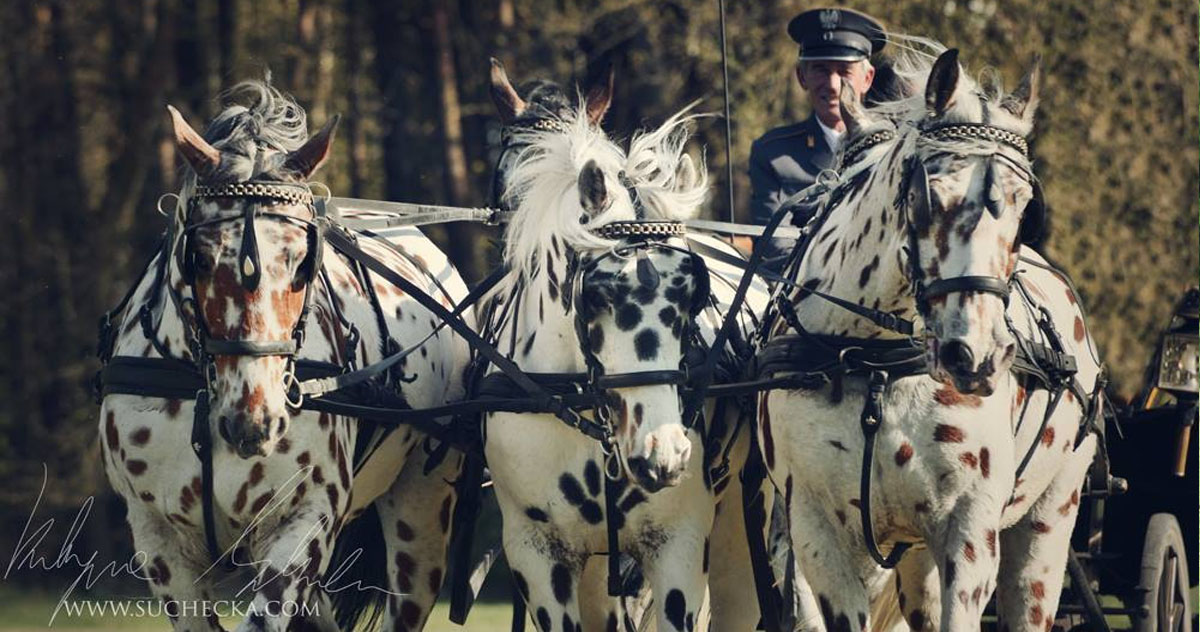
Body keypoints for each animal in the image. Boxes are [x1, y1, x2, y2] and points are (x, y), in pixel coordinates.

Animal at [96, 81, 470, 628]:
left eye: (302, 263)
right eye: (200, 258)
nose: (255, 421)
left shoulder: (303, 523)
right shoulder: (159, 543)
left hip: (422, 512)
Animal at [758, 47, 1104, 628]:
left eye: (1023, 206)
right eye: (927, 196)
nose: (977, 356)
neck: (874, 359)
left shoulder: (969, 531)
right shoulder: (816, 531)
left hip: (1049, 521)